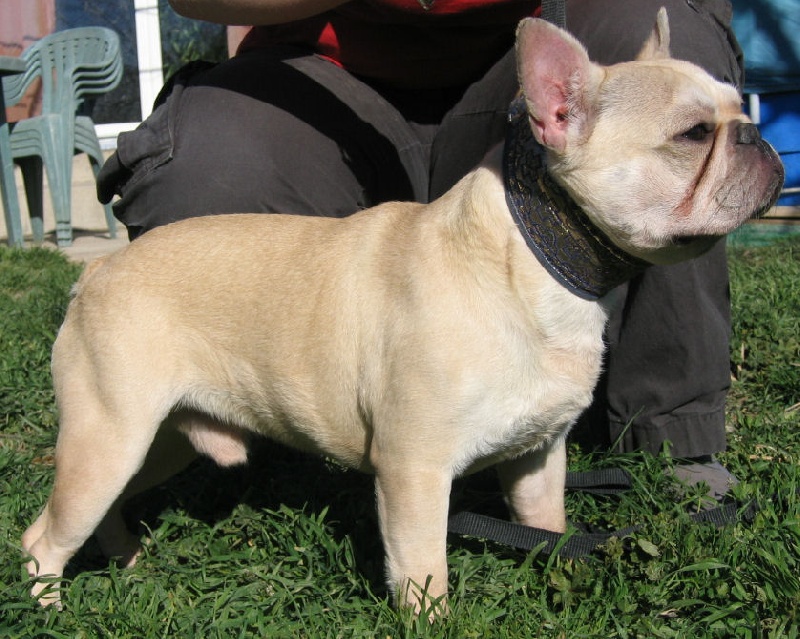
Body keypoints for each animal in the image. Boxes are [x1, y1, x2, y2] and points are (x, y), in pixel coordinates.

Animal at [23, 9, 783, 613]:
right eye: (692, 134)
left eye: (735, 108)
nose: (757, 134)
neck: (535, 257)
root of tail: (96, 274)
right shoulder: (414, 470)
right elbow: (423, 570)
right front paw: (435, 621)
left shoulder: (538, 457)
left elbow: (547, 526)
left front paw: (554, 578)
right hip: (110, 437)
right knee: (43, 535)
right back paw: (52, 606)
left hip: (157, 441)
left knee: (107, 508)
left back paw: (123, 560)